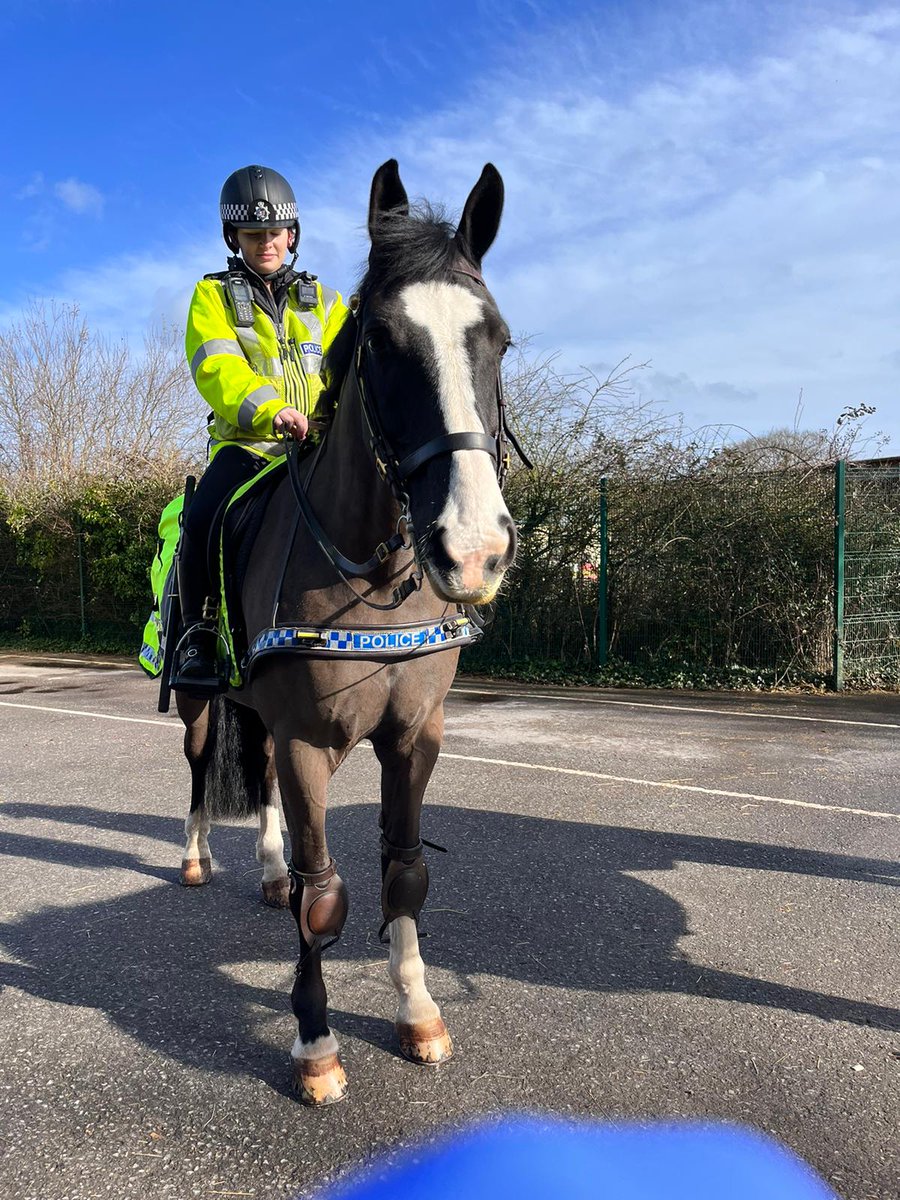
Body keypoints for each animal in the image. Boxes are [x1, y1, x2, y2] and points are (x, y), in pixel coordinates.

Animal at [174, 159, 518, 1104]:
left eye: (499, 340)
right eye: (384, 343)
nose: (473, 551)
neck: (368, 572)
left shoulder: (414, 735)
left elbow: (403, 872)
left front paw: (417, 1012)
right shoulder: (306, 742)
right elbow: (322, 893)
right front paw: (315, 1043)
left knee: (253, 783)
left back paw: (260, 869)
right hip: (201, 703)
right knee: (202, 773)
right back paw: (196, 859)